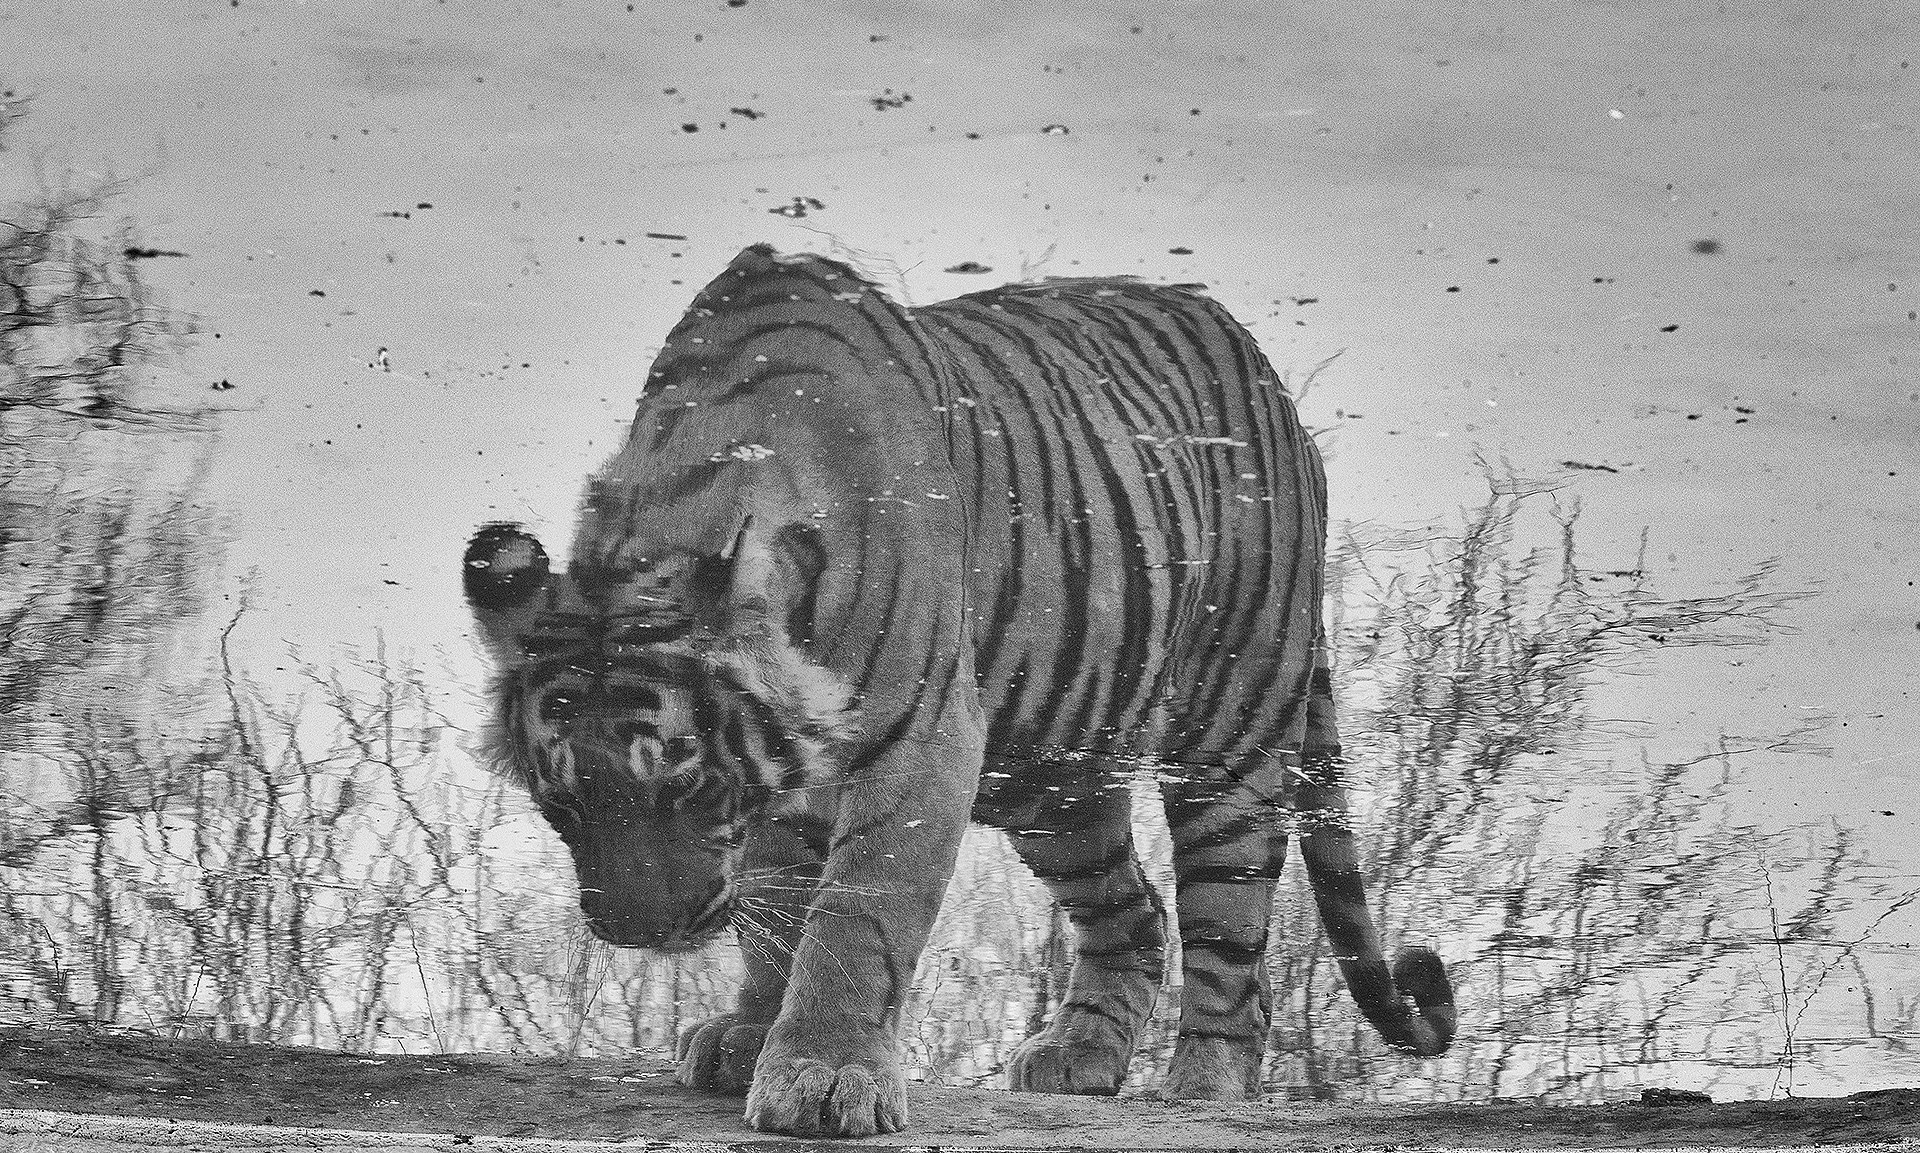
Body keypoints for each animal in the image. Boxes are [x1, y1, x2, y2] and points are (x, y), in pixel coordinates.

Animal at [461, 243, 1454, 1138]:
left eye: (687, 788)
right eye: (560, 805)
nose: (640, 930)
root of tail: (1264, 369)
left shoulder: (921, 742)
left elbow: (854, 913)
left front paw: (822, 1075)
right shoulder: (789, 766)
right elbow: (774, 898)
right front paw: (748, 1032)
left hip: (1231, 718)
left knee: (1231, 928)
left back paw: (1202, 1086)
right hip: (1048, 777)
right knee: (1133, 911)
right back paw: (1079, 1054)